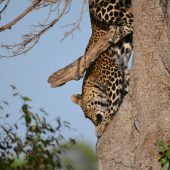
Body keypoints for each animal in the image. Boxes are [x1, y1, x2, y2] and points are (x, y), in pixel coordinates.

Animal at [71, 0, 133, 137]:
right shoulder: (124, 73)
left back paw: (115, 32)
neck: (91, 78)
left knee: (131, 19)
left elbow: (112, 105)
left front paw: (101, 126)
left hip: (102, 7)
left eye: (86, 114)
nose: (95, 122)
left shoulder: (114, 74)